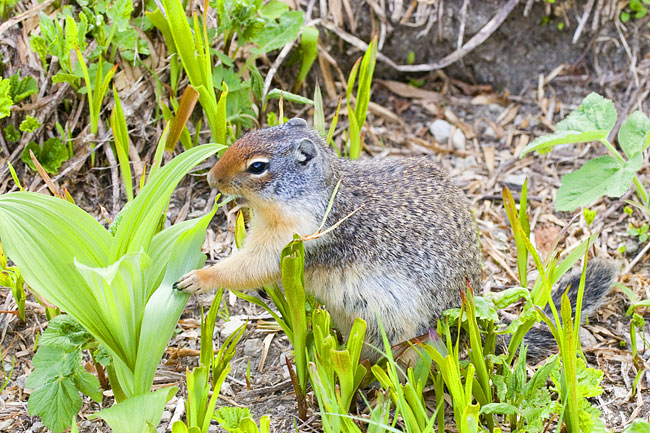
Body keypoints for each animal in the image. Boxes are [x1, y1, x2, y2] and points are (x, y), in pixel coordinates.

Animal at [173, 117, 616, 362]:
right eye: (249, 133)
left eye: (257, 167)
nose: (211, 178)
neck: (314, 192)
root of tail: (465, 325)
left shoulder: (295, 237)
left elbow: (251, 268)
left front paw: (198, 278)